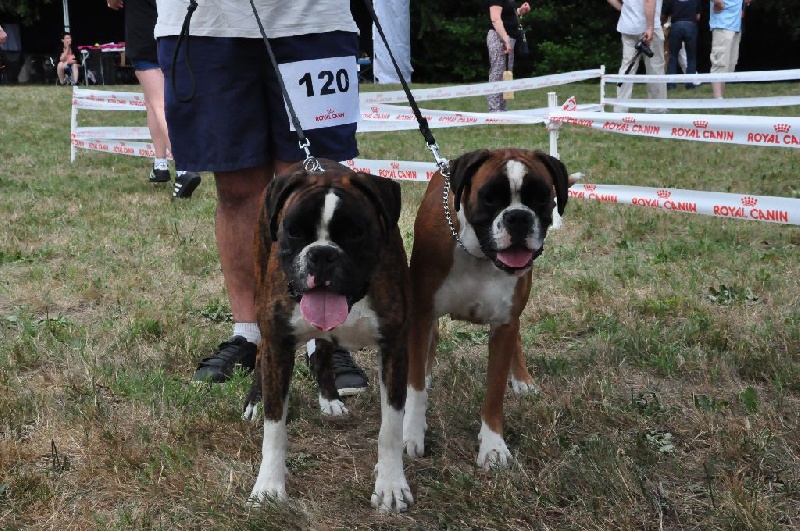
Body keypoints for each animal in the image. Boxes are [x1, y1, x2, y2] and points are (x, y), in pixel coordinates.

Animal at [242, 159, 414, 512]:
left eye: (355, 233)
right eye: (294, 231)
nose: (321, 253)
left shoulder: (394, 348)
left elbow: (391, 426)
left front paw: (390, 485)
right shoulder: (279, 343)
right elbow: (274, 428)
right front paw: (268, 487)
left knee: (322, 351)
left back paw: (330, 399)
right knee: (261, 351)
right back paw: (254, 400)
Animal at [402, 148, 570, 470]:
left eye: (541, 197)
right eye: (489, 198)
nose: (518, 217)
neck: (478, 256)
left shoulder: (504, 324)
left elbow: (494, 391)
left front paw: (493, 446)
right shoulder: (420, 316)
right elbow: (415, 387)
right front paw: (412, 433)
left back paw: (522, 379)